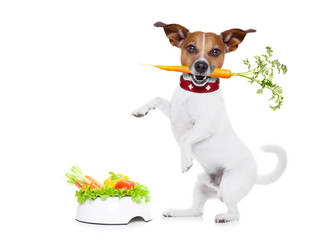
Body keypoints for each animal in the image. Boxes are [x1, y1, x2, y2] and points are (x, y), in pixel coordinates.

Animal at [131, 21, 286, 222]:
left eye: (215, 51)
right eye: (190, 48)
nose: (201, 66)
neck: (194, 91)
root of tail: (255, 174)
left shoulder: (205, 125)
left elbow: (186, 137)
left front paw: (185, 161)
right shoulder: (175, 113)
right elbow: (157, 98)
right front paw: (141, 110)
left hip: (230, 185)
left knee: (234, 211)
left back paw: (224, 217)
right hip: (200, 188)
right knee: (197, 210)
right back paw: (178, 210)